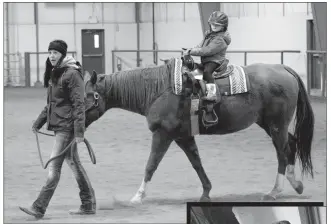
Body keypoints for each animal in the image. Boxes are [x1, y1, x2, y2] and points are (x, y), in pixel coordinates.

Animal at [83, 57, 314, 204]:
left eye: (88, 96)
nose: (77, 119)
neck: (160, 90)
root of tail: (283, 69)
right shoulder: (183, 137)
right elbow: (196, 163)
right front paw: (206, 193)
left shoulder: (163, 134)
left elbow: (151, 165)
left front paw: (138, 196)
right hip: (270, 124)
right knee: (291, 144)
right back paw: (296, 184)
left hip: (276, 125)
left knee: (282, 152)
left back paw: (274, 191)